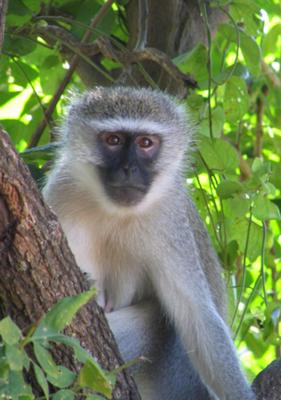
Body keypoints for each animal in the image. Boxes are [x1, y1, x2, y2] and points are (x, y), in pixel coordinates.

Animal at [42, 87, 255, 400]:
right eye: (113, 140)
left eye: (145, 143)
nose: (128, 169)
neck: (116, 214)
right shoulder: (62, 192)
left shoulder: (171, 219)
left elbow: (198, 318)